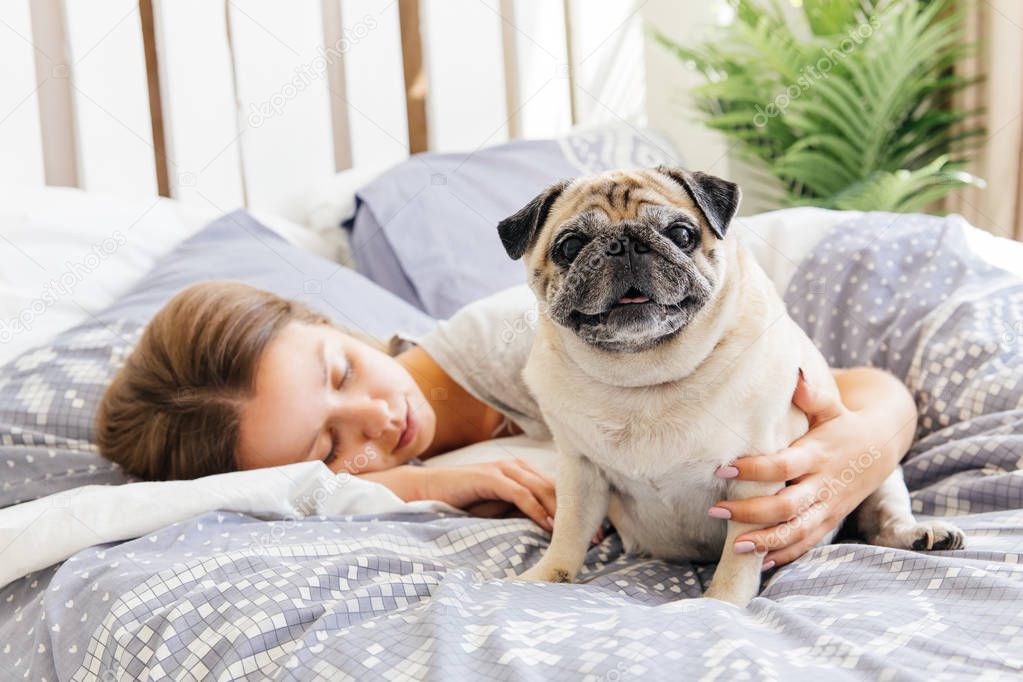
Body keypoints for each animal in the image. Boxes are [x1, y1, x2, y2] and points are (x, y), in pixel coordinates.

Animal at [499, 167, 961, 605]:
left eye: (681, 234)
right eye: (570, 246)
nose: (624, 244)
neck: (646, 375)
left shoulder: (754, 479)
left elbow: (742, 551)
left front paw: (723, 602)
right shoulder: (580, 473)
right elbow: (569, 533)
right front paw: (544, 577)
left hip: (880, 469)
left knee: (883, 519)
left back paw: (920, 534)